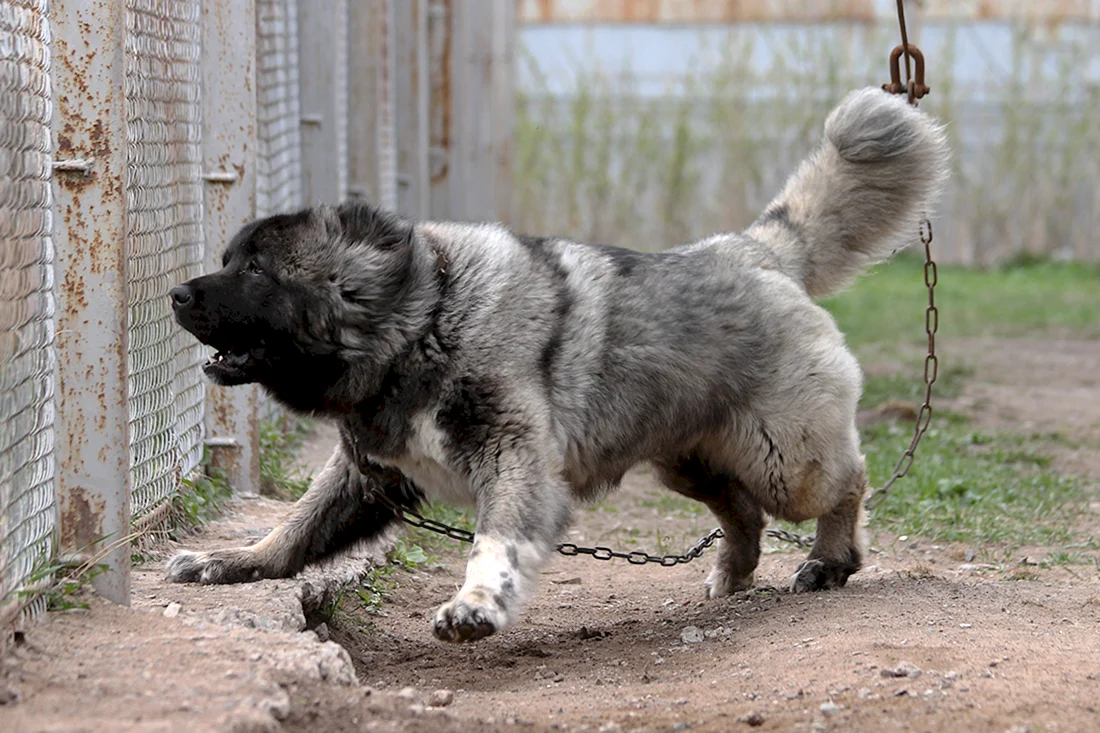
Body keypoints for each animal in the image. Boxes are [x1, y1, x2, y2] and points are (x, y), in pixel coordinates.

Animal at [167, 86, 950, 638]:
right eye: (231, 259)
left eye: (257, 271)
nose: (175, 293)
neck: (421, 323)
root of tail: (756, 247)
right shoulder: (364, 476)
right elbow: (293, 530)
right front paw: (232, 561)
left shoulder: (514, 461)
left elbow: (496, 540)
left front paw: (476, 605)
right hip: (689, 459)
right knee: (743, 513)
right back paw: (732, 575)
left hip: (782, 458)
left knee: (848, 481)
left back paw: (829, 560)